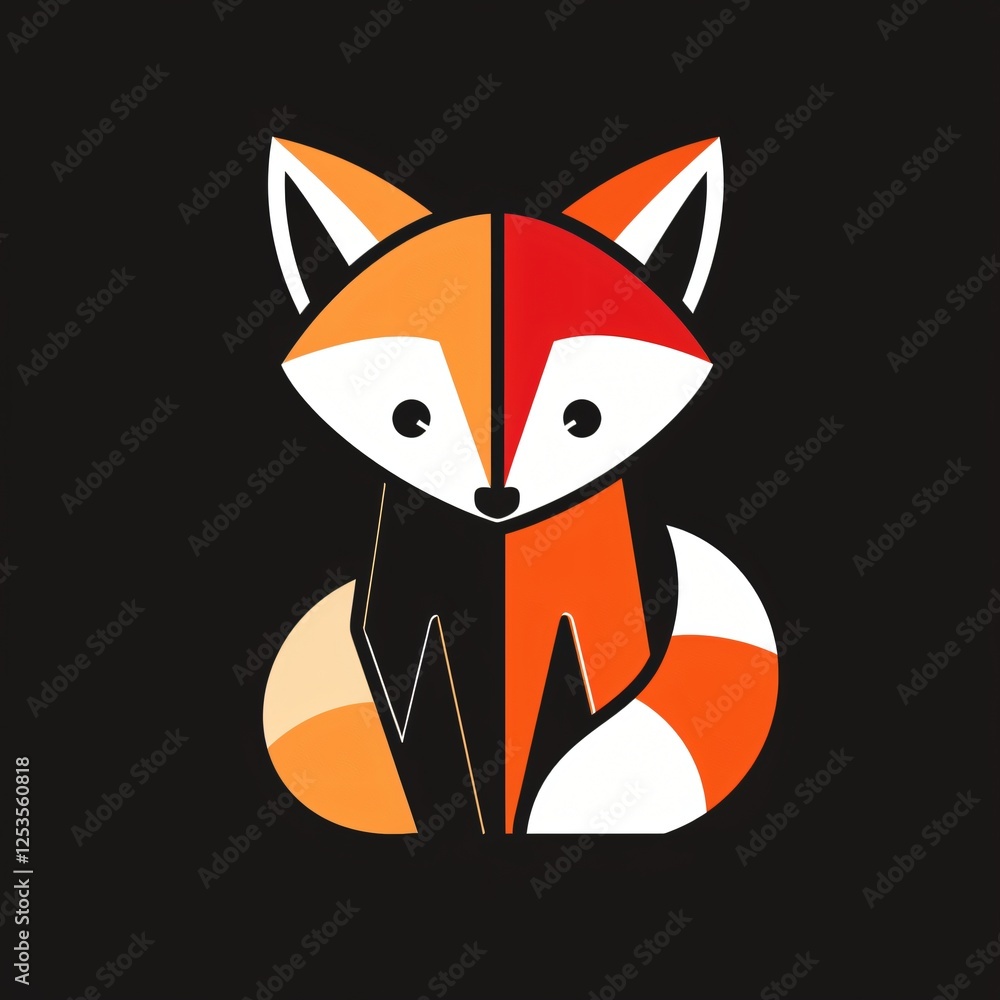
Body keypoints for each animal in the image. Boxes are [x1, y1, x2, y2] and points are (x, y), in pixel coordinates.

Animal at [260, 135, 778, 836]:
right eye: (410, 417)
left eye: (583, 418)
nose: (497, 500)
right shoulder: (403, 619)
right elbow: (411, 720)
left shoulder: (597, 614)